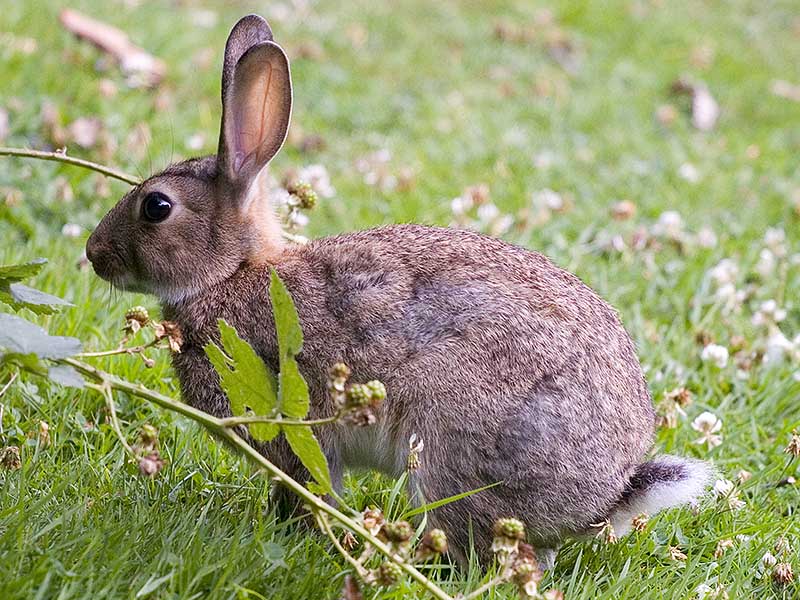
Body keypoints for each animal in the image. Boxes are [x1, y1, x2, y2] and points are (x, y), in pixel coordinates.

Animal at [86, 14, 712, 568]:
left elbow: (307, 489)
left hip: (450, 446)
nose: (94, 254)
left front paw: (295, 530)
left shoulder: (291, 428)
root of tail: (608, 493)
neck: (231, 272)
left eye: (156, 207)